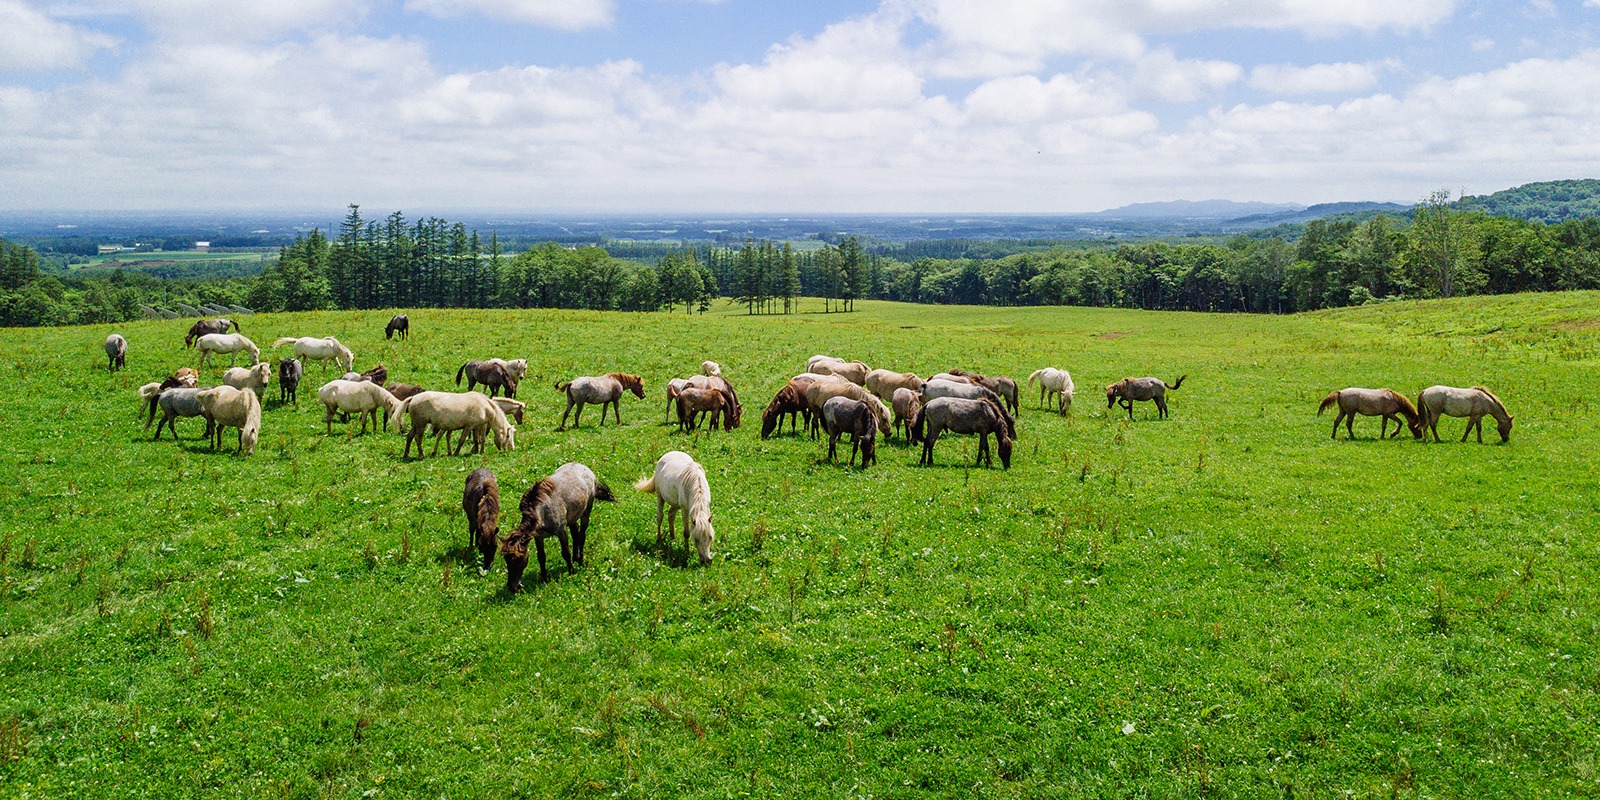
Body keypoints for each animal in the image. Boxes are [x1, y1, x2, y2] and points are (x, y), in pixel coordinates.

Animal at [496, 464, 614, 595]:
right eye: (507, 560)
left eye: (518, 560)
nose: (512, 587)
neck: (542, 511)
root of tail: (586, 468)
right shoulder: (539, 537)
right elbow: (541, 557)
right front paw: (544, 578)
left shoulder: (561, 531)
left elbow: (565, 552)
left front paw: (571, 571)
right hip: (572, 518)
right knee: (575, 535)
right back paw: (576, 558)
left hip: (586, 512)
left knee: (582, 536)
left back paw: (581, 562)